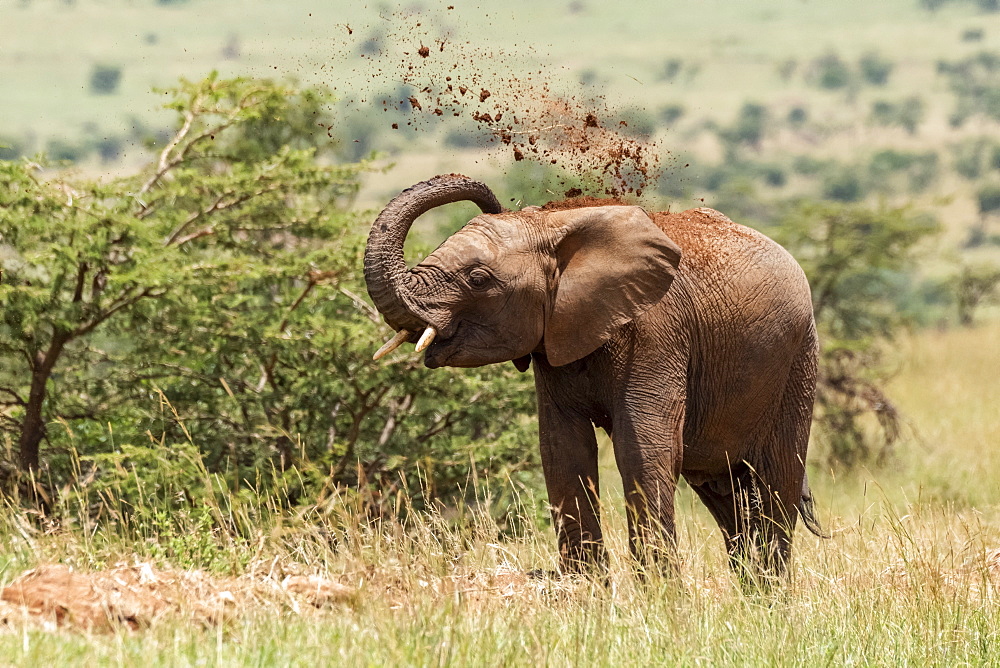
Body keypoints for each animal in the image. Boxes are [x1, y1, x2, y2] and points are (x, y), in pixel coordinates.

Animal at [364, 172, 824, 580]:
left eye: (478, 279)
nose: (494, 203)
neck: (555, 226)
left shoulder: (656, 333)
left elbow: (642, 449)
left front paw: (661, 602)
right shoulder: (555, 341)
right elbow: (563, 450)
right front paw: (587, 592)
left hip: (799, 360)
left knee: (776, 481)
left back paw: (771, 601)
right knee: (727, 494)